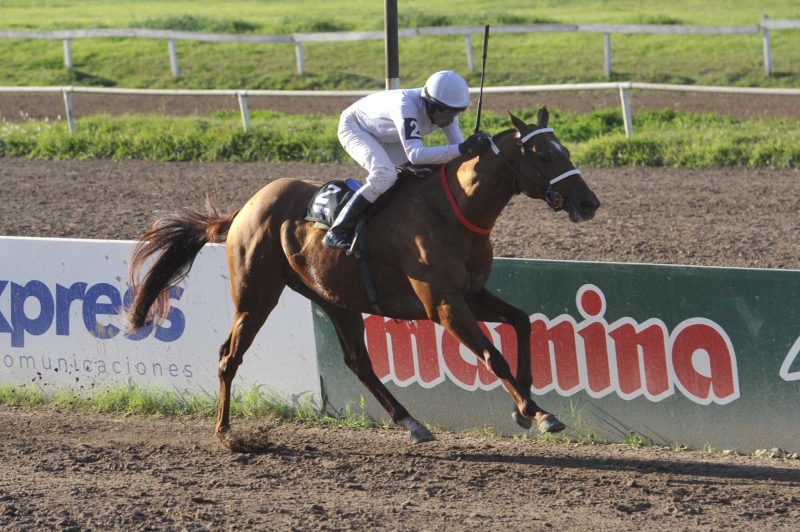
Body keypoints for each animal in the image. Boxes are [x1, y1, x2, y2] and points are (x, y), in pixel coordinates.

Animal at [126, 106, 600, 442]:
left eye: (566, 151)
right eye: (544, 154)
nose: (588, 203)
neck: (453, 210)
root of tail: (244, 208)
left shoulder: (472, 292)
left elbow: (522, 321)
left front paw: (526, 406)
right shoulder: (443, 303)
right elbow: (490, 354)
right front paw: (538, 413)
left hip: (335, 298)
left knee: (358, 362)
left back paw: (412, 423)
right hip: (256, 295)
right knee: (229, 356)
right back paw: (225, 433)